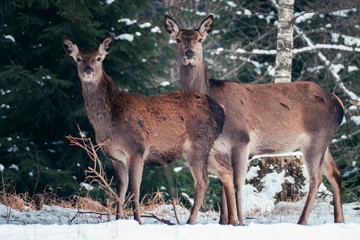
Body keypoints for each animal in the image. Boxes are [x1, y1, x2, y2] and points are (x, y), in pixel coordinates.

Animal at [63, 35, 240, 225]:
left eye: (98, 58)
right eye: (78, 59)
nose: (88, 69)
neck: (109, 123)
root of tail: (220, 109)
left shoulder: (137, 149)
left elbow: (134, 189)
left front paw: (137, 221)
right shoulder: (116, 157)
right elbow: (120, 190)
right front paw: (119, 219)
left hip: (199, 143)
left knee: (203, 181)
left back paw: (190, 221)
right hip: (209, 147)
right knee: (226, 171)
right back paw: (233, 221)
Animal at [165, 15, 346, 225]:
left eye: (200, 39)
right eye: (178, 39)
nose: (189, 53)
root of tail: (338, 102)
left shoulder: (241, 139)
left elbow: (237, 182)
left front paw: (240, 221)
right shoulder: (218, 148)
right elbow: (223, 180)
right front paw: (224, 221)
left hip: (317, 137)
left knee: (316, 178)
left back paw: (302, 221)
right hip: (323, 141)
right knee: (334, 171)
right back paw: (339, 219)